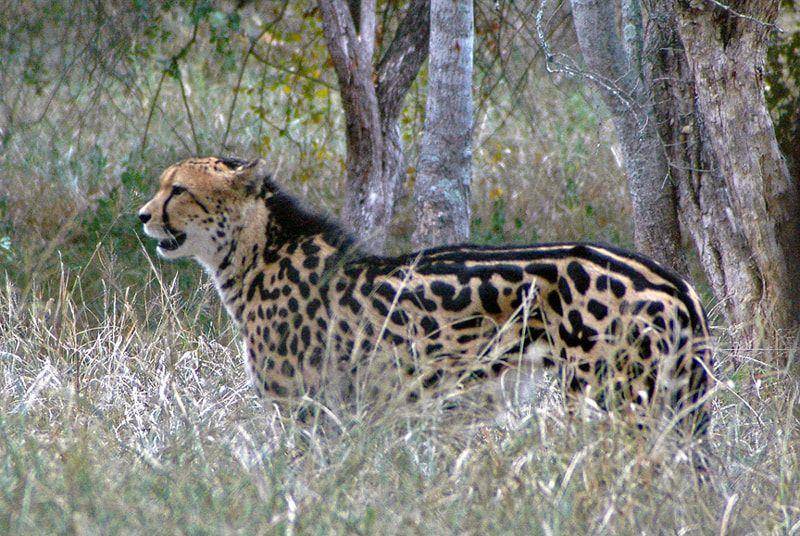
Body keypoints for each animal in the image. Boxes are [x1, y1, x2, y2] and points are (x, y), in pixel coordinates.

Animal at [138, 159, 712, 444]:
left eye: (178, 190)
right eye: (163, 186)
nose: (142, 215)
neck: (258, 249)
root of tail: (672, 278)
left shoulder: (311, 412)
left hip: (612, 403)